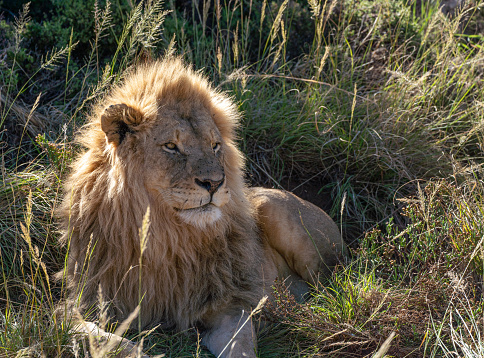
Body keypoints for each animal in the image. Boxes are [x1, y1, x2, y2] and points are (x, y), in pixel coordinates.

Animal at [60, 57, 344, 356]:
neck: (166, 238)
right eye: (171, 146)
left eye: (215, 145)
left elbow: (241, 346)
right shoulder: (82, 303)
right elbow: (107, 339)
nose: (215, 183)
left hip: (275, 210)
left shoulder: (228, 303)